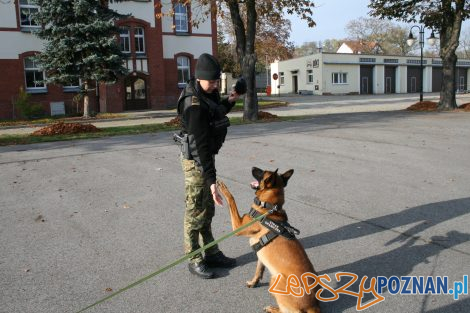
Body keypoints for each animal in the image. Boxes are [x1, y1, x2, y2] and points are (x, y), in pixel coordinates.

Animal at [218, 167, 322, 312]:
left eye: (262, 172)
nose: (252, 167)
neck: (269, 208)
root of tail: (313, 305)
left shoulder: (238, 226)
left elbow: (231, 199)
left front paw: (223, 188)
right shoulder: (261, 255)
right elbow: (258, 270)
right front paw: (253, 282)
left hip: (275, 281)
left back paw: (272, 308)